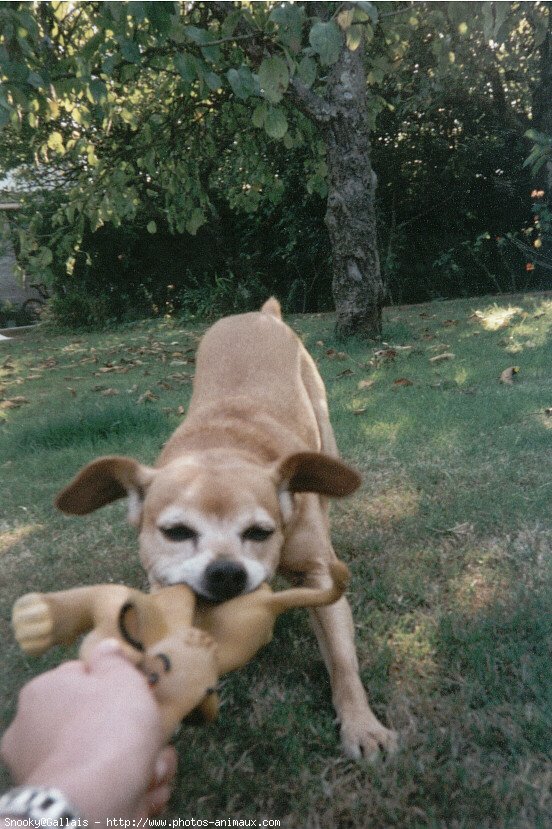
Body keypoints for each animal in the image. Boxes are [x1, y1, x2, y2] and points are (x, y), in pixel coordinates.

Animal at [56, 298, 396, 756]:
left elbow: (342, 659)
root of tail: (260, 314)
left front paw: (361, 725)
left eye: (260, 532)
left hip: (326, 438)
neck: (223, 447)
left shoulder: (319, 576)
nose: (225, 572)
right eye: (176, 532)